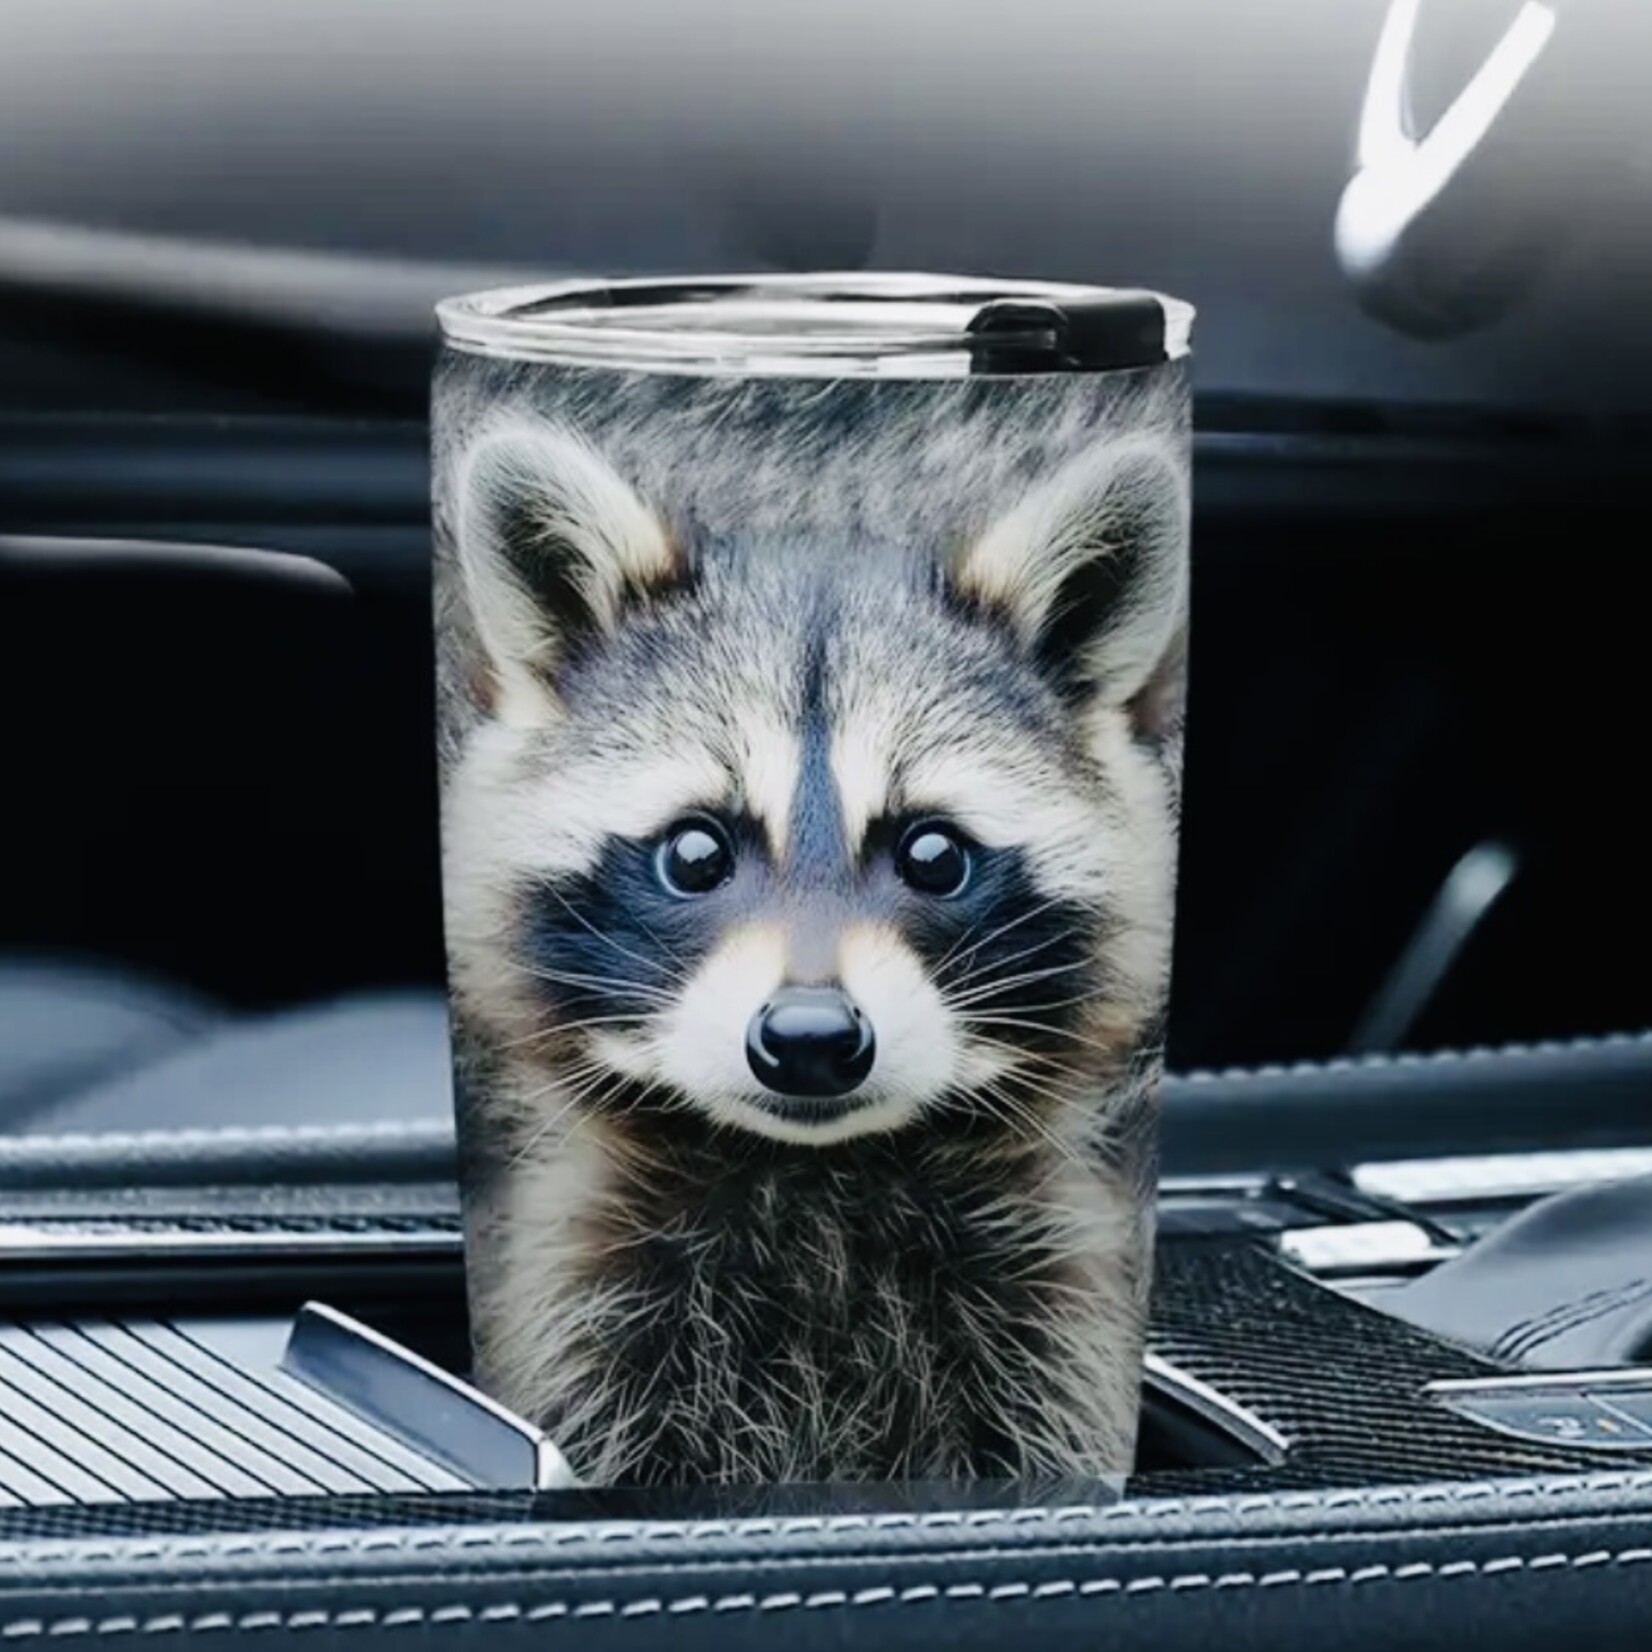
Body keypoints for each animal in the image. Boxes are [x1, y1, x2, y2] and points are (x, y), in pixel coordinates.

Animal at [435, 371, 1189, 1486]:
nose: (809, 1037)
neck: (813, 1179)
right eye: (694, 853)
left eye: (933, 854)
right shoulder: (600, 1301)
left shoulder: (1034, 1313)